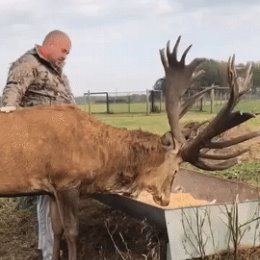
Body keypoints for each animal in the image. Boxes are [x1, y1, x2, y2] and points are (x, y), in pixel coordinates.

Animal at [1, 36, 258, 260]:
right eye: (175, 170)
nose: (166, 200)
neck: (100, 156)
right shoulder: (67, 182)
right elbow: (73, 233)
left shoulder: (52, 189)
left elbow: (57, 232)